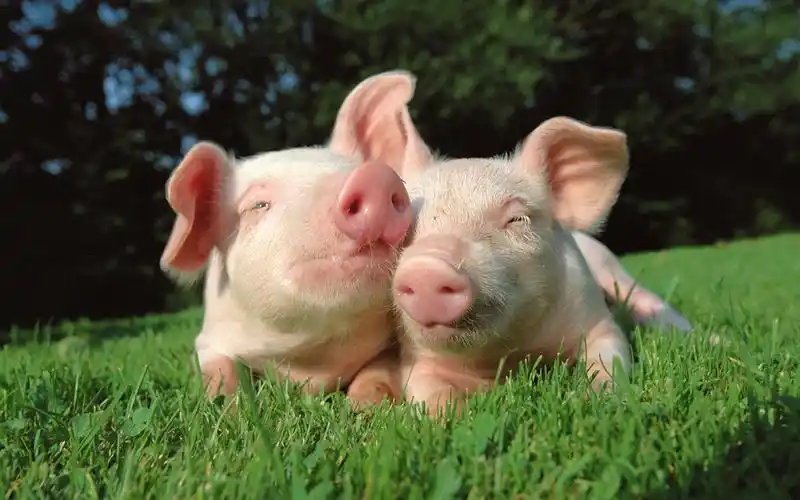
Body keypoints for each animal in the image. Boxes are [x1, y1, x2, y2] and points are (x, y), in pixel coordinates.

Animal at [158, 71, 429, 404]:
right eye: (258, 205)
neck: (310, 364)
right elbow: (220, 371)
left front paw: (364, 406)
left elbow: (377, 370)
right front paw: (228, 407)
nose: (375, 177)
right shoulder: (209, 339)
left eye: (357, 169)